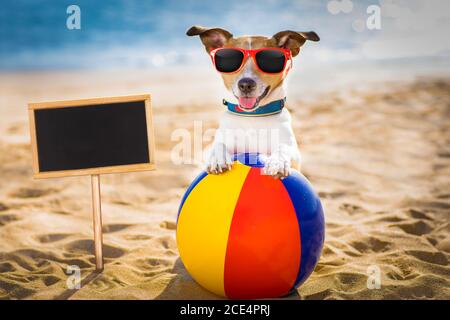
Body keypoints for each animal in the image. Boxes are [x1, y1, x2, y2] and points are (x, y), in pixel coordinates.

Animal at [186, 26, 320, 179]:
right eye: (229, 60)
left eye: (269, 61)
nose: (246, 84)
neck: (253, 116)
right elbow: (218, 145)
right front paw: (217, 157)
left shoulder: (294, 154)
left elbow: (284, 147)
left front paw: (278, 162)